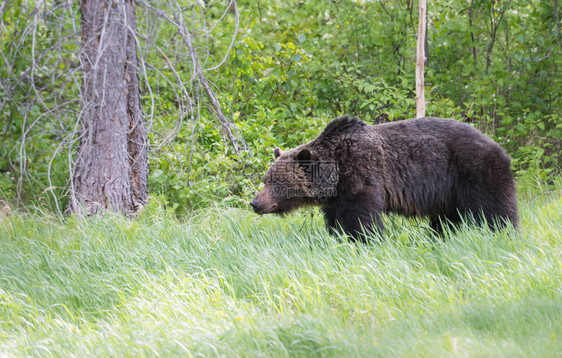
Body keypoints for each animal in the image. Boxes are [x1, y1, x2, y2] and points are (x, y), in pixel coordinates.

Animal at [249, 116, 516, 242]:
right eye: (265, 179)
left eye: (276, 182)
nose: (255, 202)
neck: (335, 176)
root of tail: (497, 145)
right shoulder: (335, 198)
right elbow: (335, 221)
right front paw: (338, 238)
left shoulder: (361, 175)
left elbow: (361, 218)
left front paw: (363, 240)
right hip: (448, 193)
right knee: (446, 219)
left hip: (474, 172)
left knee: (494, 209)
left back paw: (504, 234)